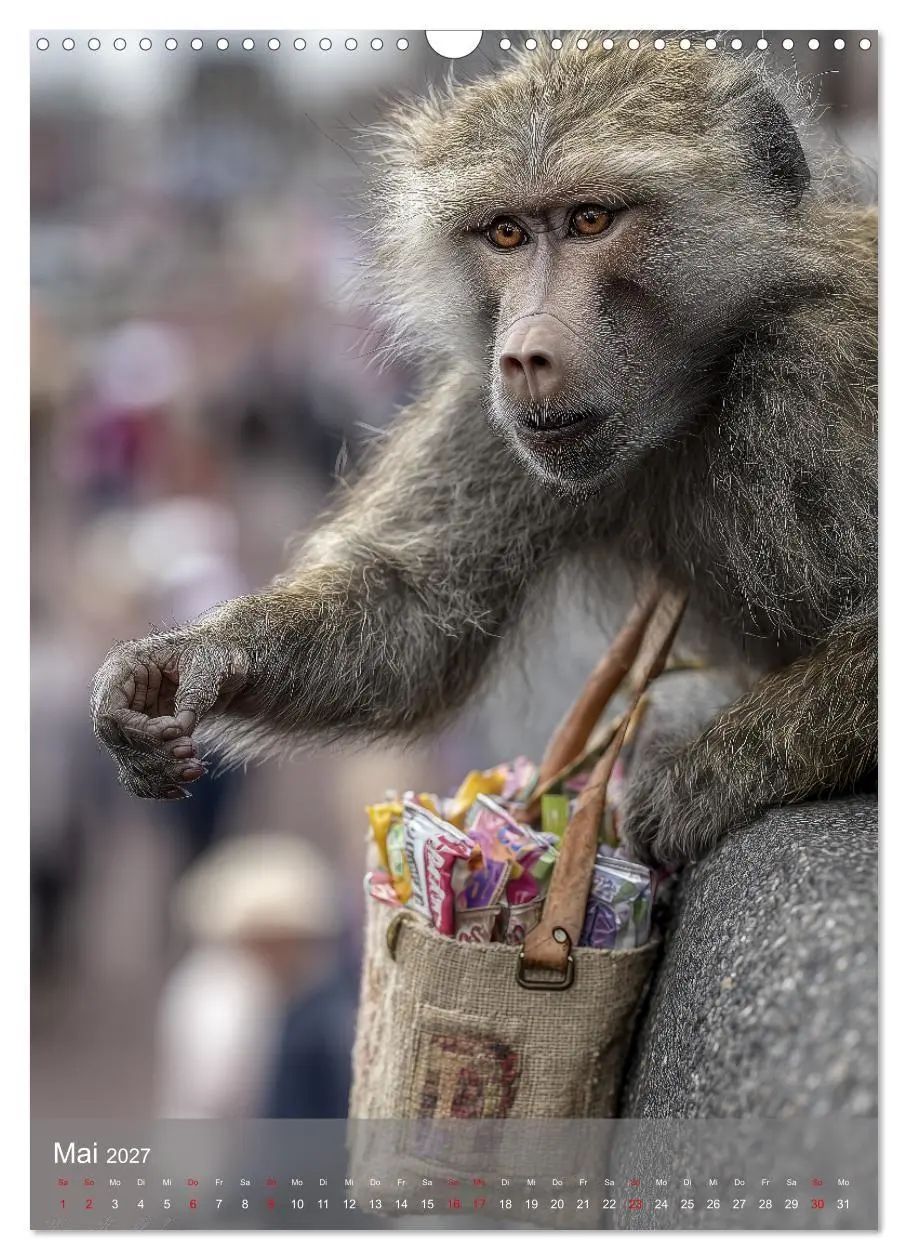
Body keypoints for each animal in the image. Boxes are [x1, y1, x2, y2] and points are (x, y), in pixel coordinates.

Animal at [89, 35, 877, 868]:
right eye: (506, 233)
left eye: (590, 219)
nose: (525, 355)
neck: (714, 376)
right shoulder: (486, 409)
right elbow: (418, 615)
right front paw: (183, 662)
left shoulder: (829, 367)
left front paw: (701, 778)